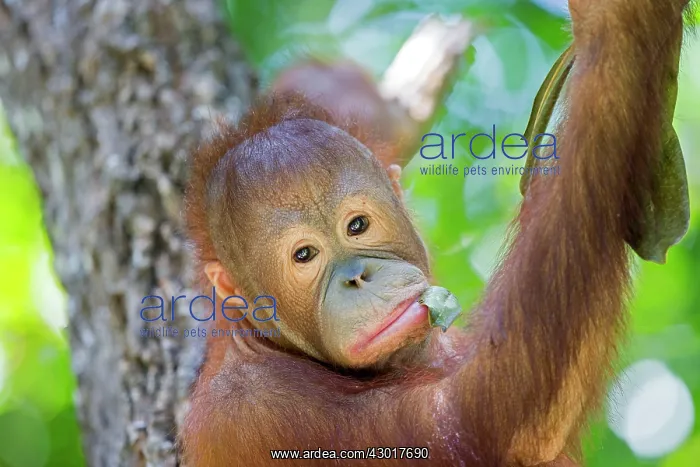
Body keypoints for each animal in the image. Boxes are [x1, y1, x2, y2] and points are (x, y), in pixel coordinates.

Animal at [179, 0, 693, 465]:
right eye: (304, 256)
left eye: (357, 226)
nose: (357, 276)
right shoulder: (264, 409)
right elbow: (486, 422)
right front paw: (615, 22)